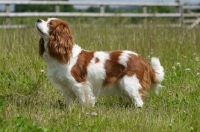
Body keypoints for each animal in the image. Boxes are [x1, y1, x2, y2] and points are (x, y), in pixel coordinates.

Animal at [35, 18, 164, 108]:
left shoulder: (79, 84)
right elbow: (70, 103)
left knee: (139, 102)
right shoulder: (67, 87)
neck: (65, 55)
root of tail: (143, 60)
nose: (38, 19)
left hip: (128, 83)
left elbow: (84, 100)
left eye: (51, 23)